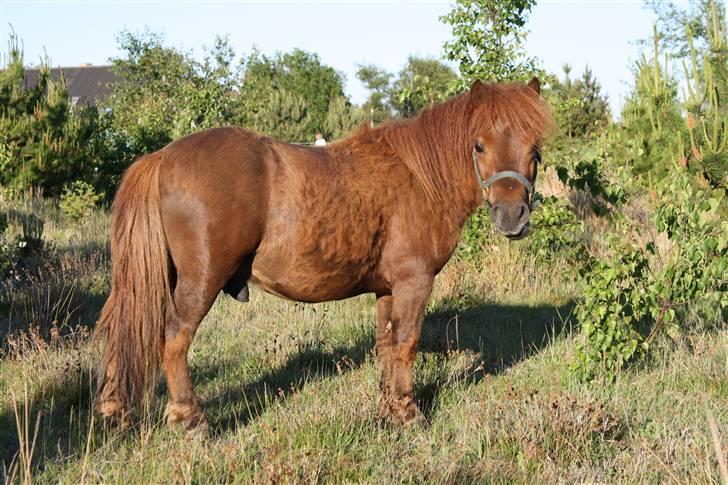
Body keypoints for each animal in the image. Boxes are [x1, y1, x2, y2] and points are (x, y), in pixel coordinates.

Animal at [95, 78, 552, 432]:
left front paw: (388, 411)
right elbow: (406, 343)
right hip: (199, 282)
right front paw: (409, 415)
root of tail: (162, 157)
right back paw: (191, 420)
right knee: (174, 339)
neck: (418, 177)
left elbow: (386, 346)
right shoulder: (414, 282)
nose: (512, 215)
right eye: (479, 145)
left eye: (534, 148)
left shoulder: (387, 290)